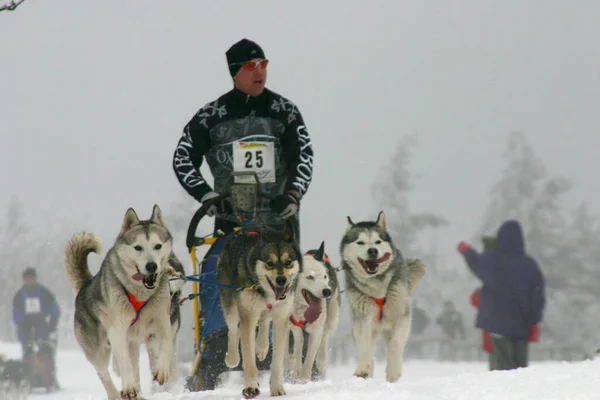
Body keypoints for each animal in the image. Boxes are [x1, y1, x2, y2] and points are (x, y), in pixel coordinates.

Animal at [65, 205, 179, 398]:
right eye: (138, 247)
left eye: (157, 246)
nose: (151, 266)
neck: (140, 294)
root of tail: (85, 286)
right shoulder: (117, 330)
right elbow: (125, 364)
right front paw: (128, 388)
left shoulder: (164, 322)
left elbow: (166, 343)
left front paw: (161, 371)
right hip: (98, 351)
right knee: (104, 373)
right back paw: (117, 394)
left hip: (132, 343)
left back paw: (139, 395)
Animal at [216, 220, 302, 398]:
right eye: (269, 263)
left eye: (288, 262)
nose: (281, 280)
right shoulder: (248, 315)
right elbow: (248, 359)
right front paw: (250, 387)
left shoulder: (281, 318)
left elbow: (277, 360)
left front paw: (277, 387)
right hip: (232, 308)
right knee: (233, 330)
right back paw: (232, 358)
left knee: (263, 321)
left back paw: (262, 347)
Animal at [342, 211, 426, 382]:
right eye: (360, 242)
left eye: (378, 241)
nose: (373, 251)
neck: (378, 287)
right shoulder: (362, 319)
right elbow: (364, 348)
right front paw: (362, 369)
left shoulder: (401, 316)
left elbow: (395, 344)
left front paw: (393, 372)